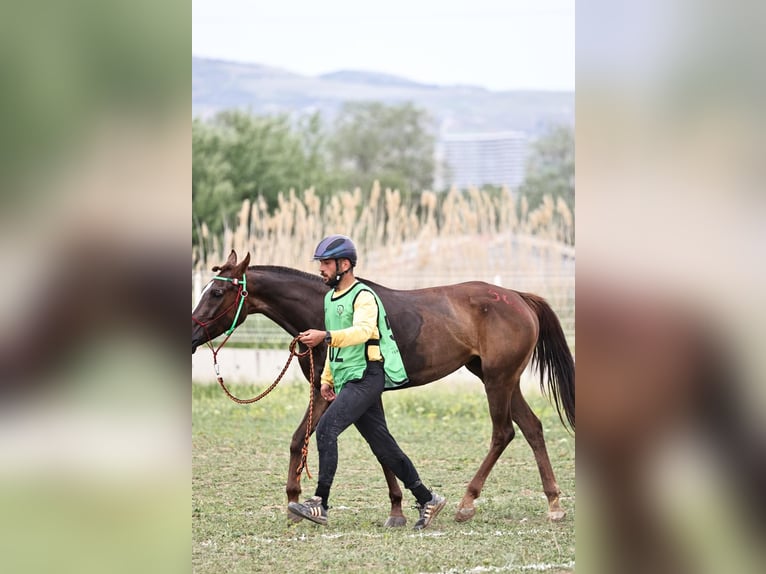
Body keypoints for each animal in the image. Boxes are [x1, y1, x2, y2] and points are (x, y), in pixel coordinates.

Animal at [192, 250, 575, 526]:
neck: (324, 314)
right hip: (500, 378)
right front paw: (295, 500)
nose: (192, 333)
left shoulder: (342, 395)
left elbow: (371, 446)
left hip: (497, 380)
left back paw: (467, 503)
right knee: (532, 427)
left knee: (503, 433)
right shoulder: (330, 391)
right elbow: (332, 442)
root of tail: (518, 297)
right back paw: (554, 504)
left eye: (218, 291)